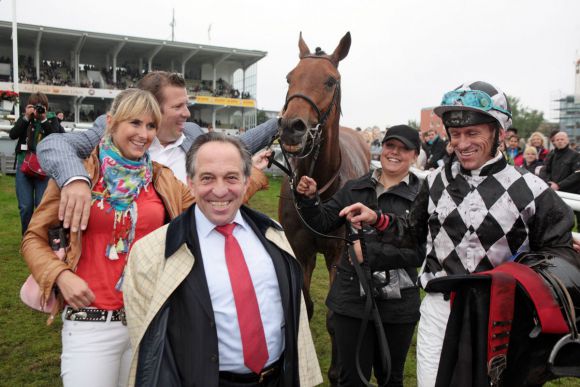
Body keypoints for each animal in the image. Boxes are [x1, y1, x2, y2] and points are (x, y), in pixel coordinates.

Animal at [278, 31, 370, 384]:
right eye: (289, 77)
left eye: (331, 80)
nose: (291, 126)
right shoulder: (301, 250)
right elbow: (306, 306)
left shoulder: (336, 255)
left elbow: (334, 317)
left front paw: (337, 371)